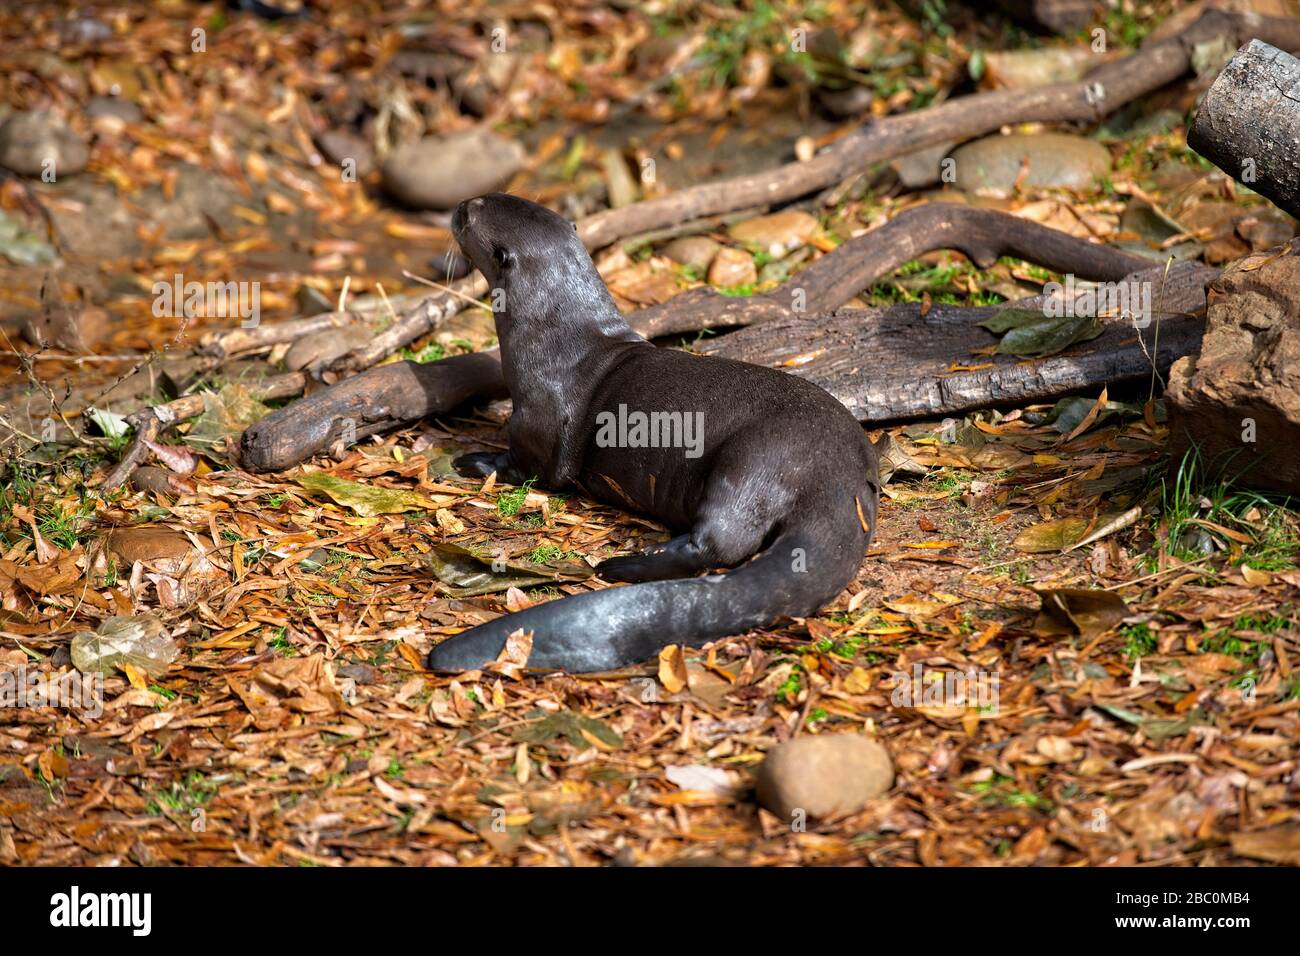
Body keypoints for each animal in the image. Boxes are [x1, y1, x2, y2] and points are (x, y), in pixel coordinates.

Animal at [425, 193, 879, 673]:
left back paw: (622, 566)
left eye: (470, 213)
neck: (553, 342)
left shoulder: (537, 420)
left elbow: (532, 469)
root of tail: (842, 477)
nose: (457, 205)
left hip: (756, 460)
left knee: (720, 544)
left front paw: (474, 460)